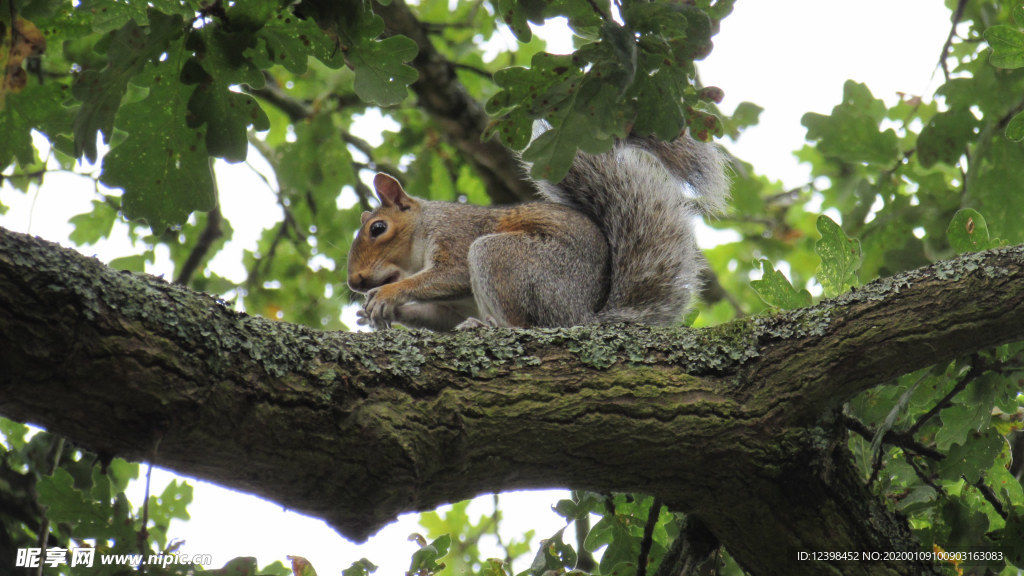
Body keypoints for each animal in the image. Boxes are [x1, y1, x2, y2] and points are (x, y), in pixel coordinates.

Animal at [348, 133, 733, 330]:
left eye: (378, 228)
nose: (355, 282)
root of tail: (580, 316)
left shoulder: (456, 236)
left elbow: (450, 273)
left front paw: (386, 295)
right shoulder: (452, 307)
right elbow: (440, 317)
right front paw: (378, 312)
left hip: (511, 261)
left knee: (523, 325)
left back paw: (492, 328)